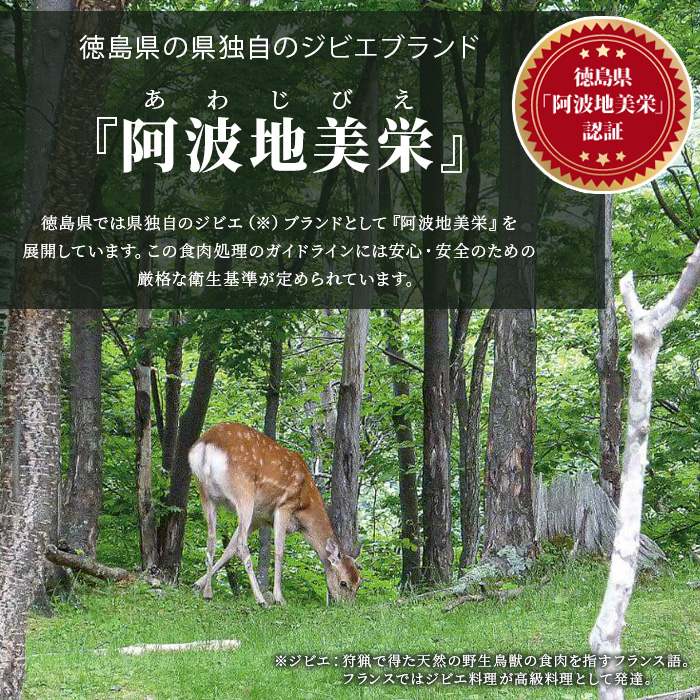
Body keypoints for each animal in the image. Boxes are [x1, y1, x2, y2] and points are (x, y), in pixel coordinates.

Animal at [189, 422, 361, 607]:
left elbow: (229, 549)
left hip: (206, 494)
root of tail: (206, 444)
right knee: (242, 545)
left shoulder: (259, 518)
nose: (348, 606)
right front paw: (279, 597)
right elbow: (278, 550)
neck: (306, 506)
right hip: (244, 491)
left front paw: (197, 585)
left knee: (212, 540)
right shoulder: (284, 506)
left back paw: (208, 593)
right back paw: (261, 599)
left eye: (359, 583)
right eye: (343, 583)